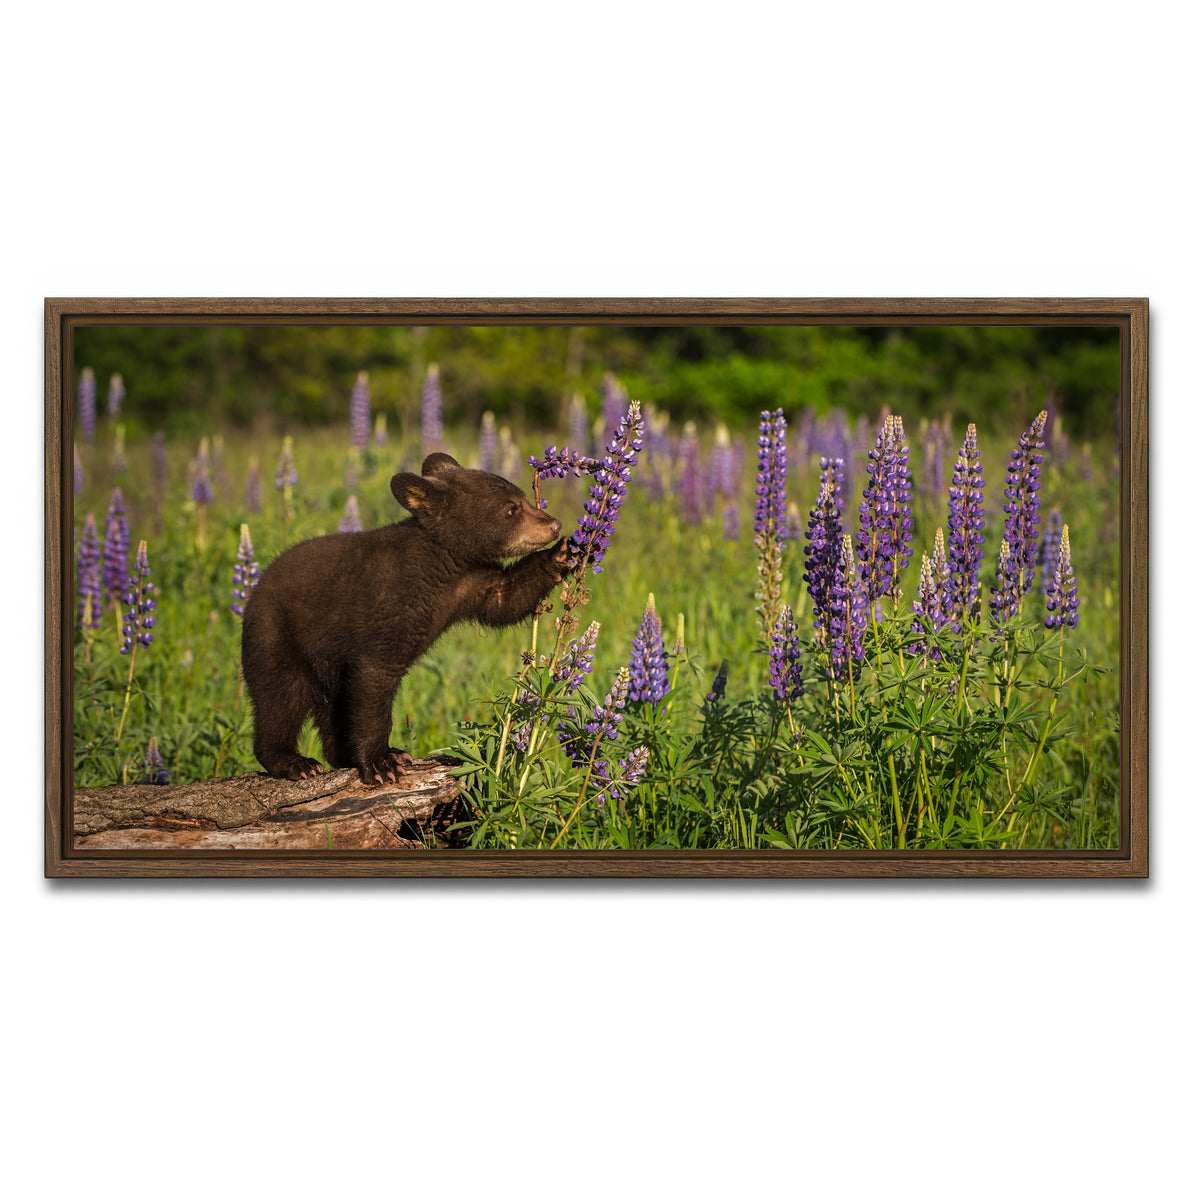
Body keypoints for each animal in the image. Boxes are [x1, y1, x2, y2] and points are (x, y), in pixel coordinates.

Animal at [241, 452, 569, 784]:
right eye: (511, 508)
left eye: (524, 498)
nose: (554, 524)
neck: (442, 563)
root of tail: (254, 591)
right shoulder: (388, 609)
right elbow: (375, 681)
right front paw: (382, 762)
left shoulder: (470, 582)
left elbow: (506, 598)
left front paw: (564, 553)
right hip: (276, 636)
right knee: (281, 698)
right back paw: (295, 762)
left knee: (331, 706)